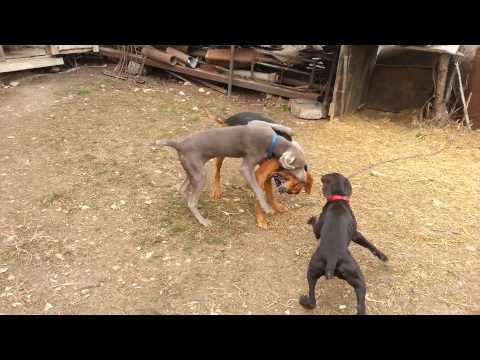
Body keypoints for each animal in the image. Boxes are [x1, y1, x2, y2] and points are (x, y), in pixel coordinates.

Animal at [158, 121, 308, 228]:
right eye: (298, 167)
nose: (304, 179)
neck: (273, 141)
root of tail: (179, 144)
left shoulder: (257, 123)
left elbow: (279, 125)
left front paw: (289, 130)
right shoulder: (247, 166)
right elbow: (258, 190)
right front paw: (266, 207)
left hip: (193, 170)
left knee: (182, 189)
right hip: (200, 174)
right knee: (191, 202)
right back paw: (203, 220)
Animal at [300, 173, 390, 314]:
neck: (338, 200)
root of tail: (332, 259)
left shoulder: (320, 232)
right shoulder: (356, 234)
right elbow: (368, 244)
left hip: (314, 271)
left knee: (313, 300)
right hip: (355, 277)